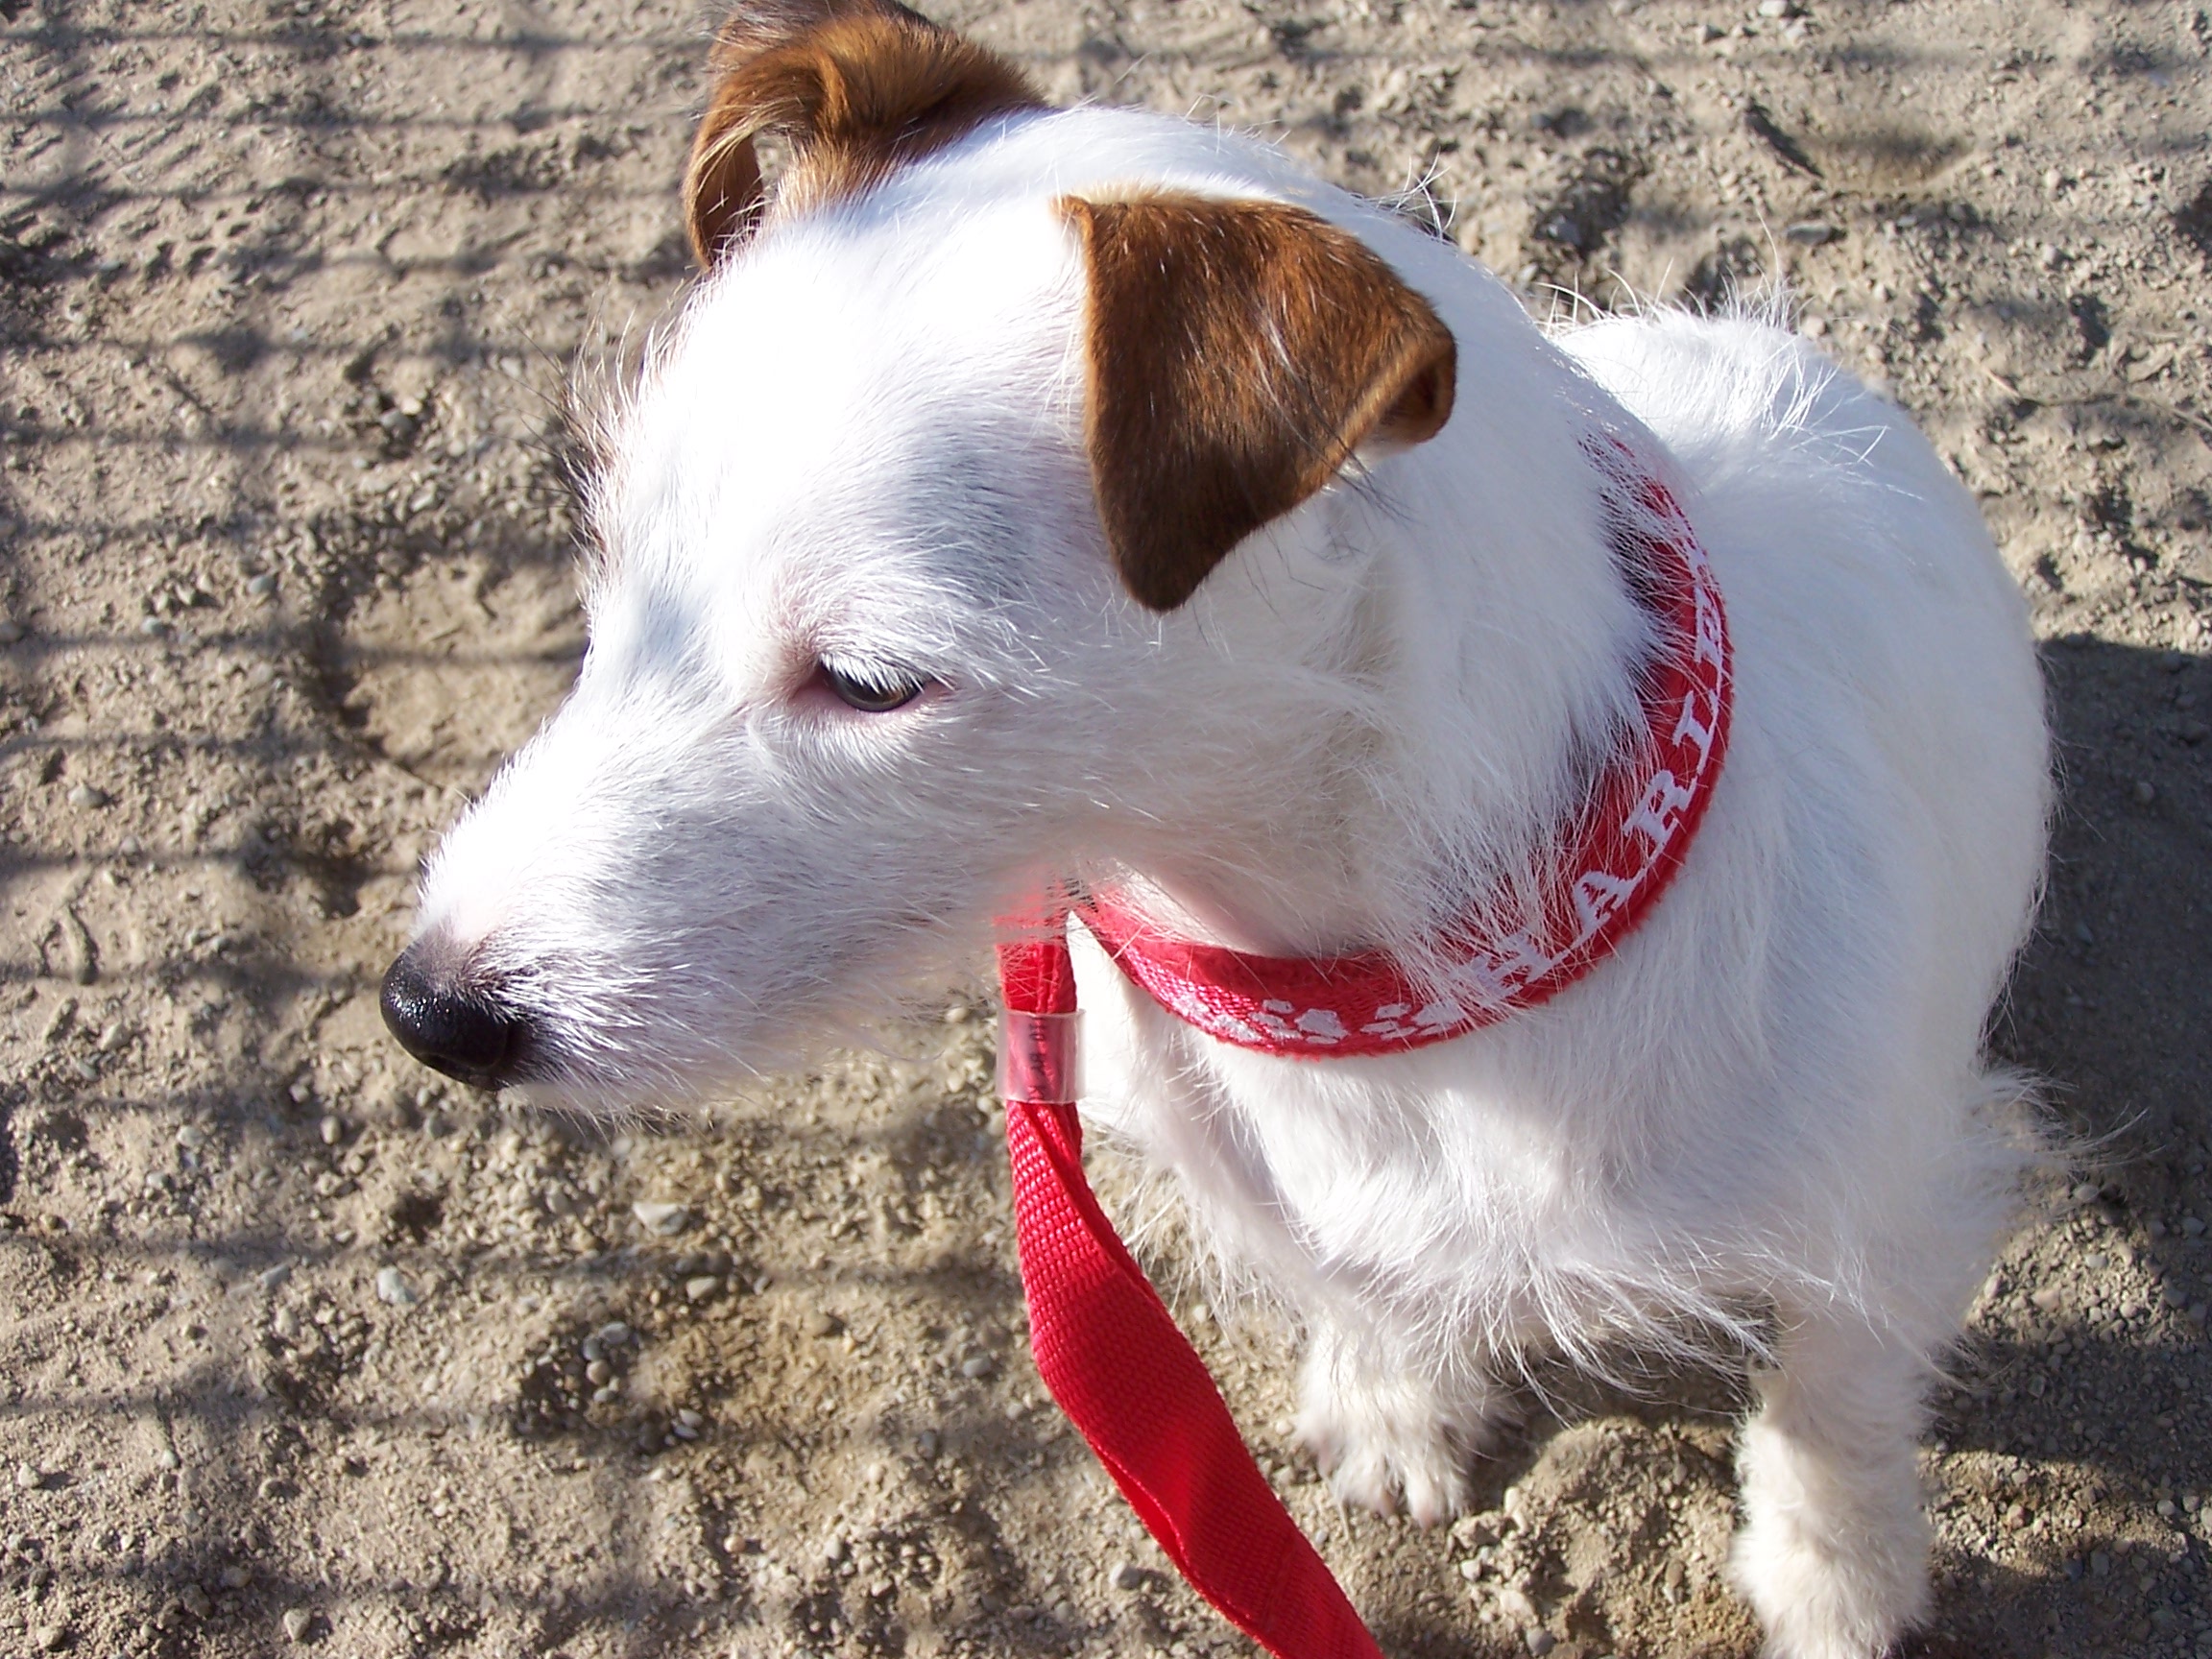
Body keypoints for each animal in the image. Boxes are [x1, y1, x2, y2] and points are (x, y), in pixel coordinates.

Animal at [380, 4, 2051, 1654]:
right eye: (611, 567)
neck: (1378, 986)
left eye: (867, 681)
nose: (426, 1009)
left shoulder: (1888, 1204)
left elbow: (1833, 1400)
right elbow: (1358, 1280)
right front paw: (1396, 1396)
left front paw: (1836, 1579)